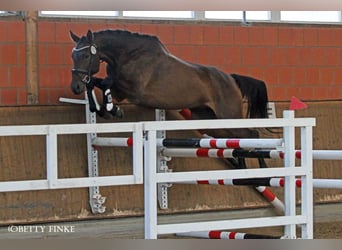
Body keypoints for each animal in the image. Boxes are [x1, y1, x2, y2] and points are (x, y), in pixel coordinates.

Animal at [69, 29, 272, 170]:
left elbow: (105, 83)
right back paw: (242, 167)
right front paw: (104, 109)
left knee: (252, 134)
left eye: (85, 55)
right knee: (238, 138)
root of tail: (231, 79)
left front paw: (112, 109)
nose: (75, 87)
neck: (128, 55)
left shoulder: (134, 91)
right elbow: (96, 83)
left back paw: (263, 170)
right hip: (209, 122)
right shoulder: (120, 89)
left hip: (227, 116)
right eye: (73, 55)